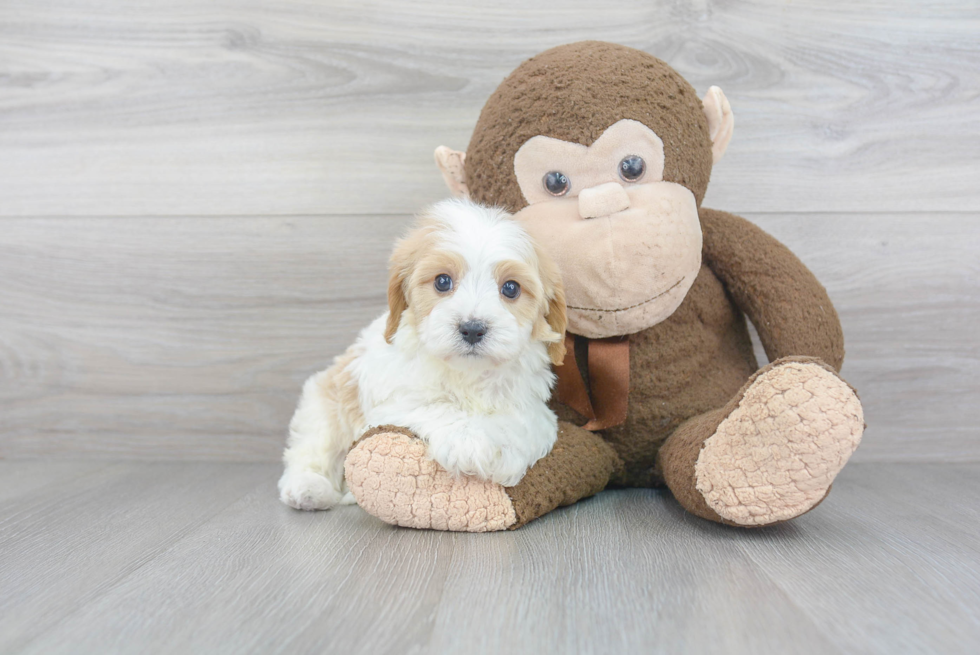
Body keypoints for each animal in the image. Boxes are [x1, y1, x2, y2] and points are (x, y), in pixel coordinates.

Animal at [276, 200, 568, 512]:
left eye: (511, 288)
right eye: (442, 282)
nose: (472, 329)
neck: (468, 374)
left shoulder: (533, 405)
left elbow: (522, 421)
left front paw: (503, 454)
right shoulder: (395, 401)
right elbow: (434, 406)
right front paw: (467, 440)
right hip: (323, 405)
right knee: (312, 447)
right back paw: (308, 488)